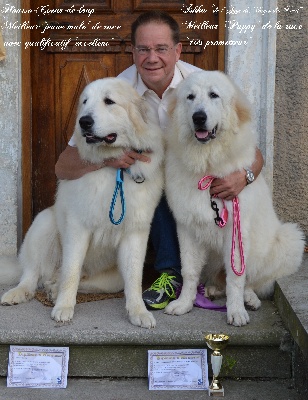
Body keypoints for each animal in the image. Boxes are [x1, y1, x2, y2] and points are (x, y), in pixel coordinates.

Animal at [0, 77, 164, 328]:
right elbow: (71, 271)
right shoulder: (78, 228)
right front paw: (64, 308)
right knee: (32, 274)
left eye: (109, 101)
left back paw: (53, 290)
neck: (113, 168)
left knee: (70, 280)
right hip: (43, 223)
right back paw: (19, 293)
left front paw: (138, 312)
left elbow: (134, 277)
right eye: (85, 101)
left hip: (112, 279)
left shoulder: (135, 233)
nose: (83, 121)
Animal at [165, 71, 304, 324]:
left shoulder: (237, 230)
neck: (208, 166)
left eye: (214, 95)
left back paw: (249, 299)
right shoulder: (187, 228)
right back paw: (212, 290)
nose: (199, 117)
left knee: (254, 281)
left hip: (290, 238)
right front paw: (184, 304)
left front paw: (236, 311)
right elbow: (189, 271)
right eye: (190, 97)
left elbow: (237, 277)